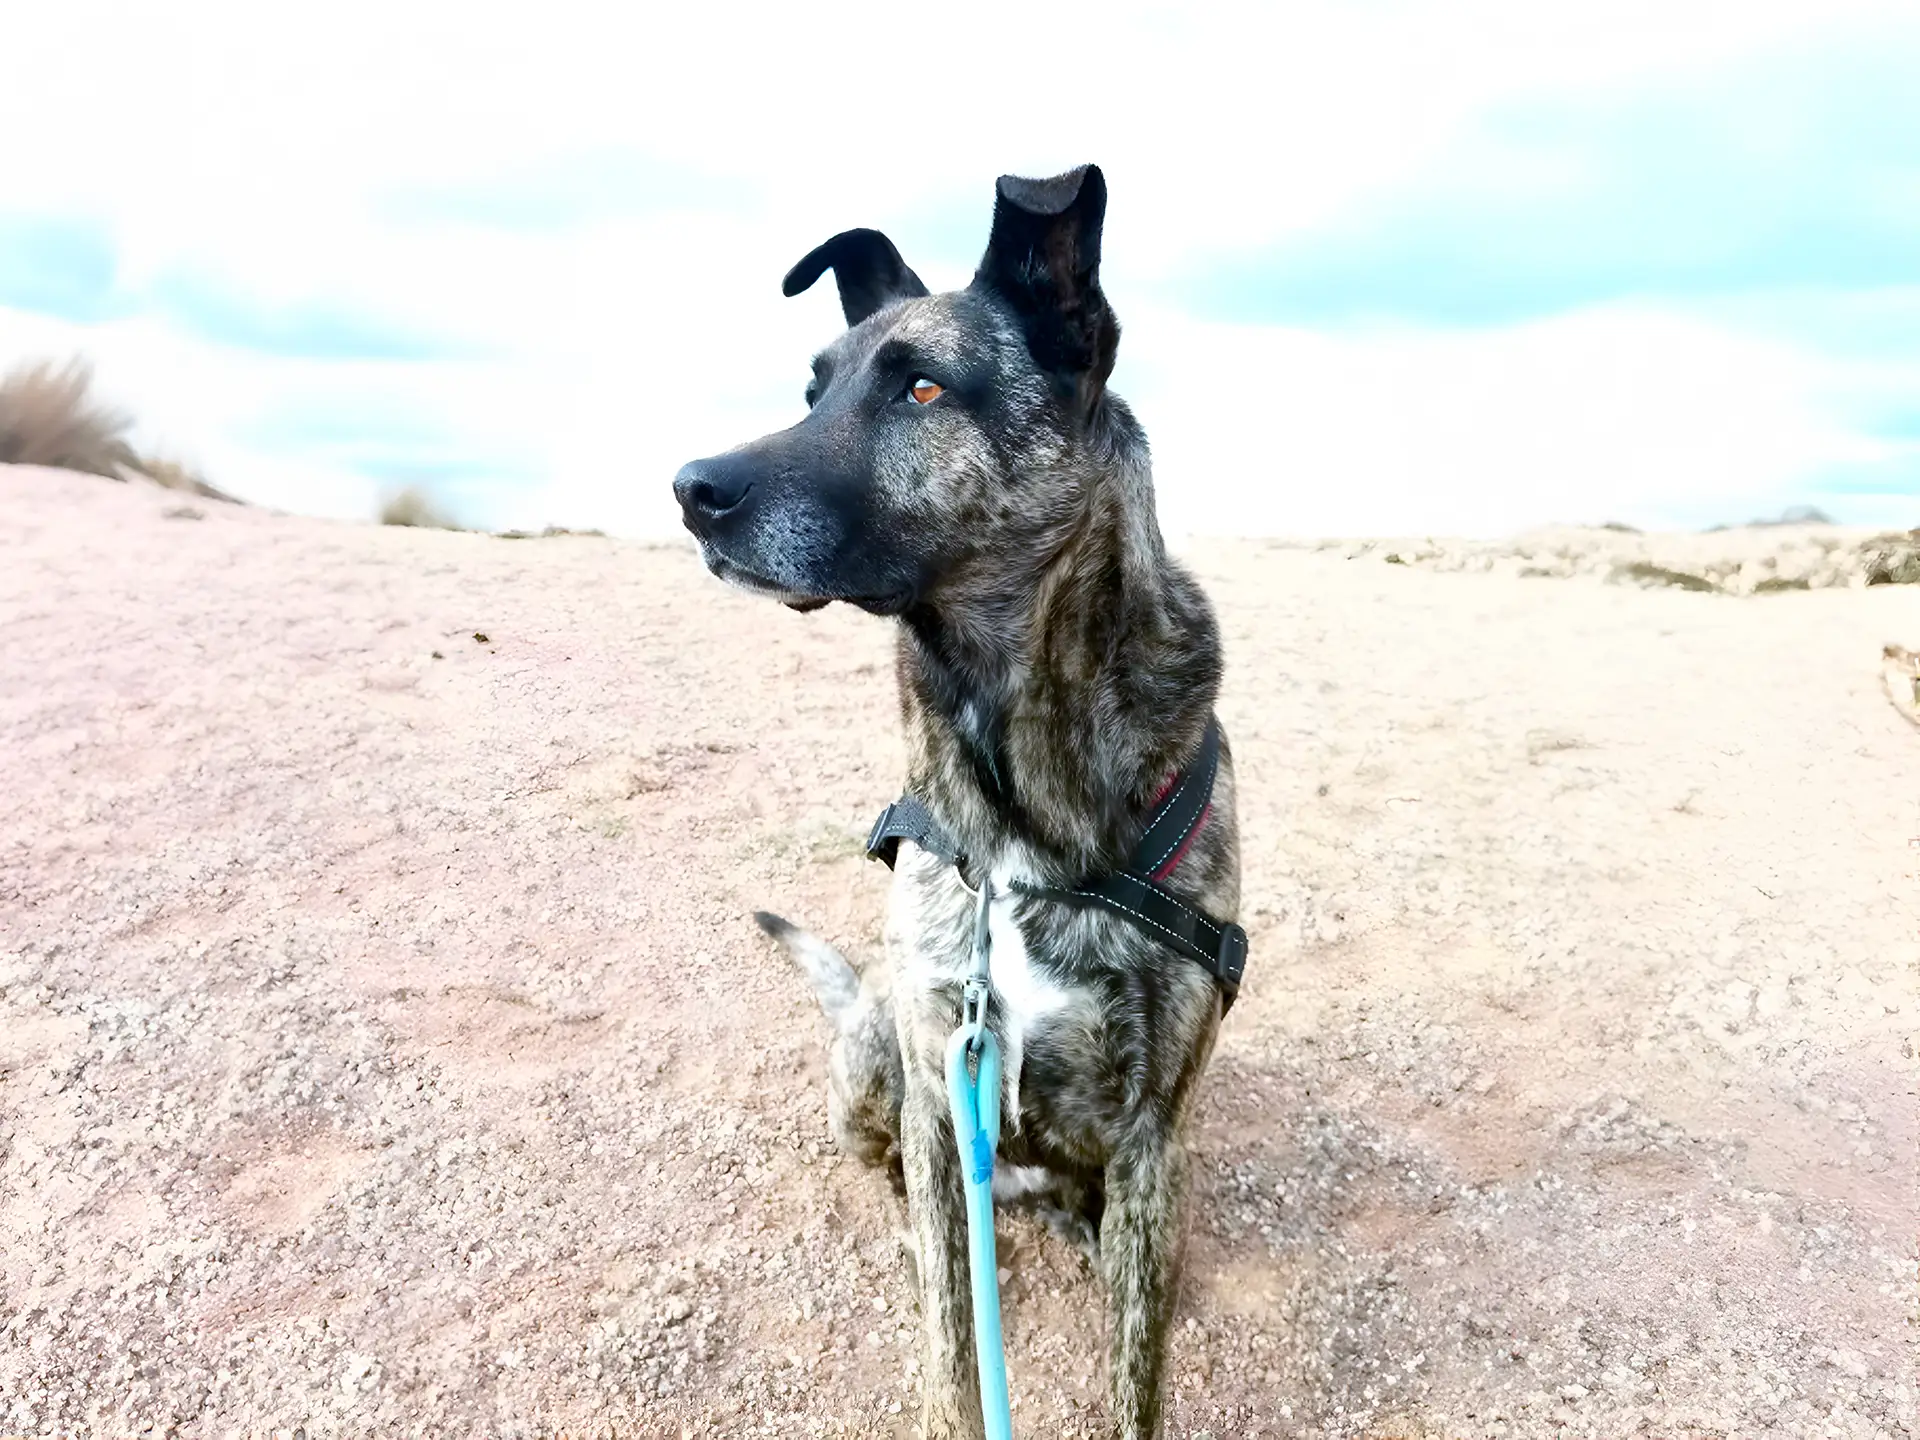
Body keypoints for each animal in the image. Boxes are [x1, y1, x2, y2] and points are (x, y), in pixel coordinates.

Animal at [675, 166, 1244, 1440]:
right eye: (814, 389)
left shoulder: (1152, 1141)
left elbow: (1136, 1378)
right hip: (871, 1062)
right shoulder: (943, 1090)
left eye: (922, 388)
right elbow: (950, 1334)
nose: (689, 487)